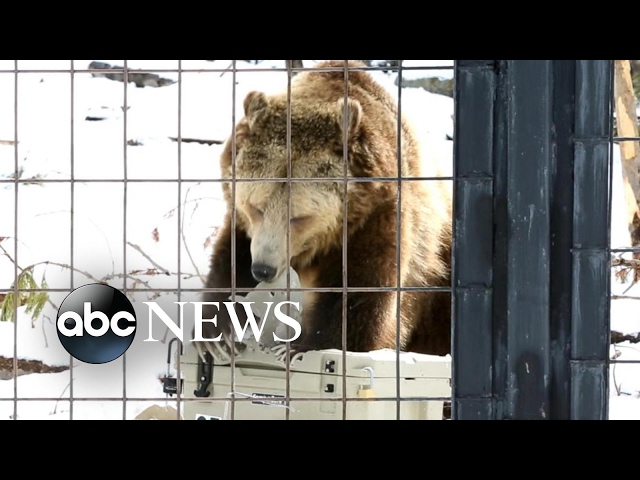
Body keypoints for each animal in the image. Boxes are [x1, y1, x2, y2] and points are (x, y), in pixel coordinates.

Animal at [197, 60, 452, 361]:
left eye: (299, 217)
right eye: (255, 207)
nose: (263, 269)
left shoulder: (374, 223)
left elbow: (356, 301)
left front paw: (302, 346)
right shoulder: (243, 227)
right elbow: (231, 261)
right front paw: (218, 334)